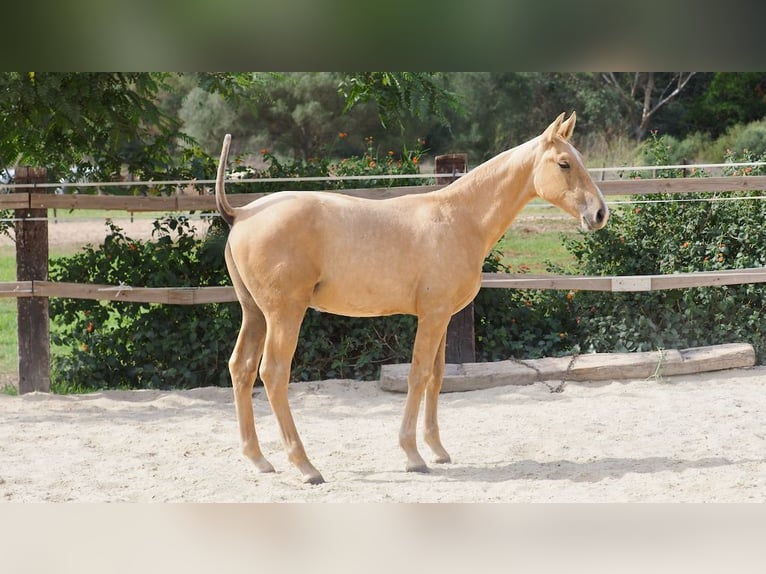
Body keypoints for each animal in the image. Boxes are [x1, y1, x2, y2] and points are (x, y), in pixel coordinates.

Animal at [218, 110, 612, 484]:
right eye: (564, 163)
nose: (599, 214)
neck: (459, 217)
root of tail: (242, 213)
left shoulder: (442, 317)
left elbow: (437, 376)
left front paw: (436, 449)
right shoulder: (433, 316)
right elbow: (419, 374)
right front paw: (412, 454)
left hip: (255, 314)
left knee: (241, 368)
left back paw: (258, 459)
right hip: (284, 315)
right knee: (273, 373)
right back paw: (305, 466)